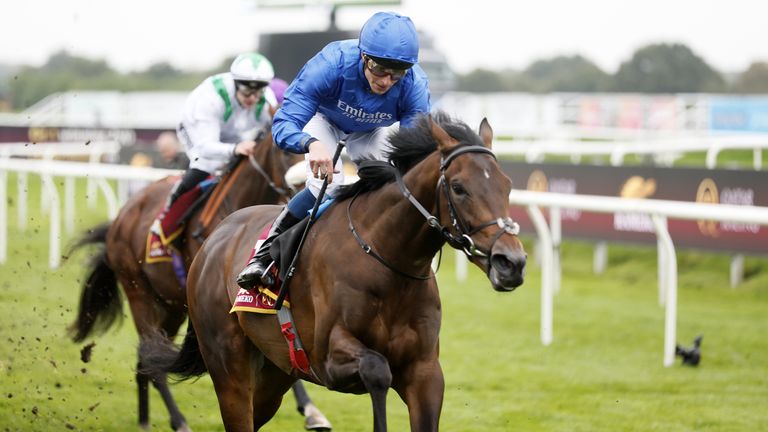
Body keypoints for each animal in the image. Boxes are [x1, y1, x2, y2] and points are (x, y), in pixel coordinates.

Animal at [67, 132, 328, 432]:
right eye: (285, 153)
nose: (304, 185)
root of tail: (121, 217)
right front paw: (309, 408)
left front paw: (311, 410)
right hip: (139, 294)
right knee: (152, 358)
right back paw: (178, 420)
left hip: (171, 307)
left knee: (149, 360)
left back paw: (144, 420)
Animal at [146, 113, 528, 430]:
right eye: (460, 187)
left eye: (507, 185)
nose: (511, 262)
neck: (389, 260)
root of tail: (215, 239)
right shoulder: (328, 359)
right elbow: (377, 370)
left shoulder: (425, 370)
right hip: (229, 368)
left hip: (273, 372)